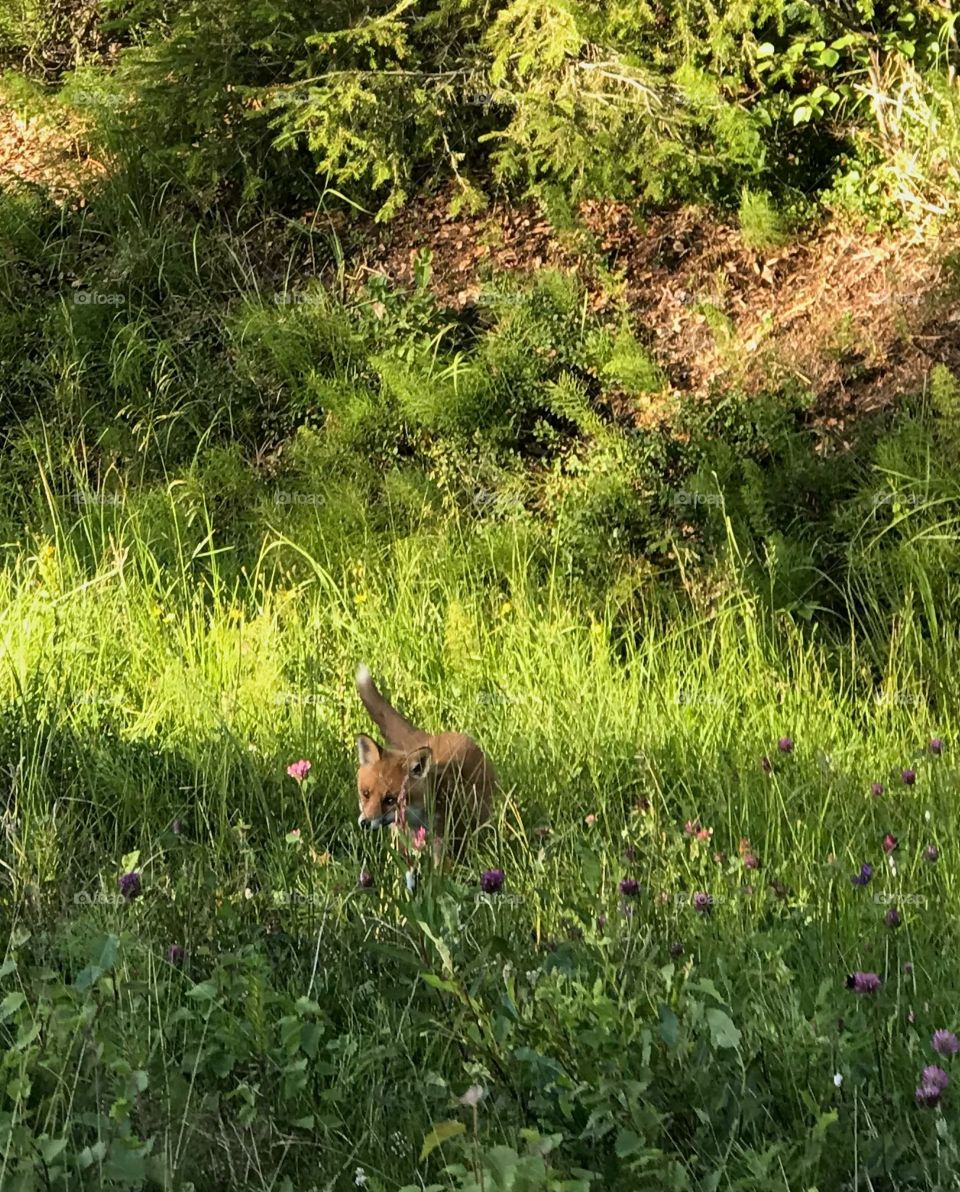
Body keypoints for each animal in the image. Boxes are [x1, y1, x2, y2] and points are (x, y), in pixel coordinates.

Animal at [355, 663, 495, 860]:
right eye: (365, 794)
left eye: (390, 800)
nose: (365, 823)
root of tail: (433, 736)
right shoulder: (403, 841)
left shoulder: (443, 843)